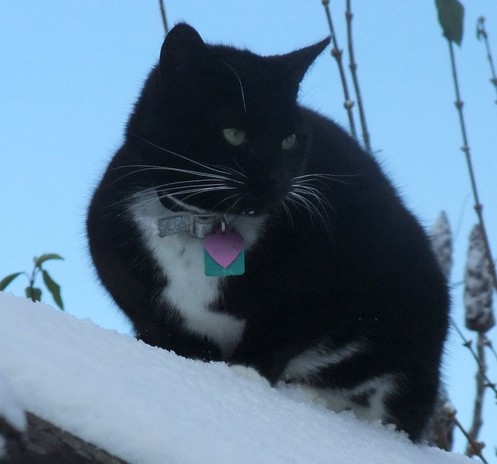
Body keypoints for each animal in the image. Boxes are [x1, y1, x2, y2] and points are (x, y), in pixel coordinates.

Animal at [86, 22, 450, 442]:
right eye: (233, 134)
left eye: (289, 139)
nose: (276, 178)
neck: (207, 222)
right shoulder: (138, 295)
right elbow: (171, 337)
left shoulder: (333, 274)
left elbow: (285, 328)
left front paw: (245, 376)